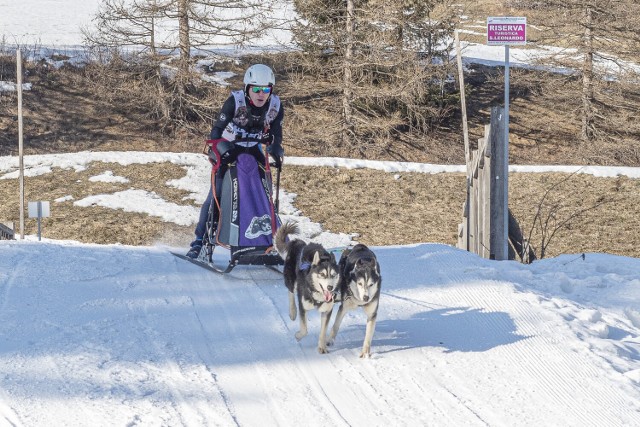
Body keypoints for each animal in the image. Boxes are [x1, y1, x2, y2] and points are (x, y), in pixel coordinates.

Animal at [278, 221, 342, 354]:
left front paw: (322, 347)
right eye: (322, 274)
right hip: (291, 280)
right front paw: (298, 335)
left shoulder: (327, 311)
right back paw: (292, 312)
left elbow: (323, 332)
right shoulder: (303, 307)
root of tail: (299, 243)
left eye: (333, 275)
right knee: (291, 292)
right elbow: (304, 330)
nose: (330, 287)